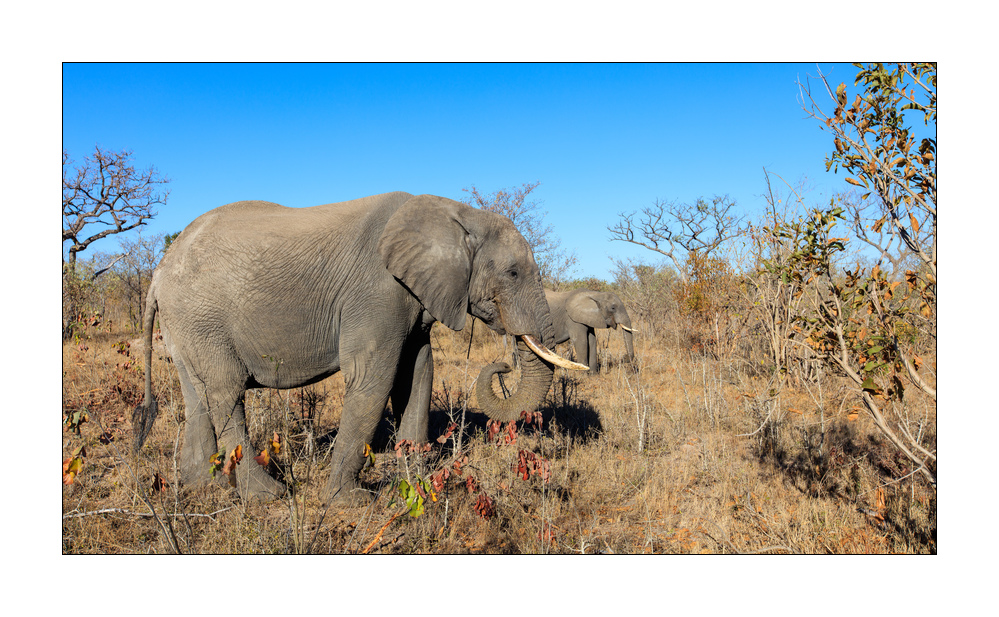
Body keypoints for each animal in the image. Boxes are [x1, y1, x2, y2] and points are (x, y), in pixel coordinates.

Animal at [132, 192, 586, 505]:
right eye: (512, 273)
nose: (503, 366)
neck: (454, 213)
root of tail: (158, 273)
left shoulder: (412, 298)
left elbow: (417, 375)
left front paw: (415, 480)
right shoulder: (377, 292)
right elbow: (374, 380)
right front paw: (349, 501)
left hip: (186, 324)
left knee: (197, 395)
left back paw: (199, 485)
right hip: (202, 315)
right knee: (226, 392)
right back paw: (267, 495)